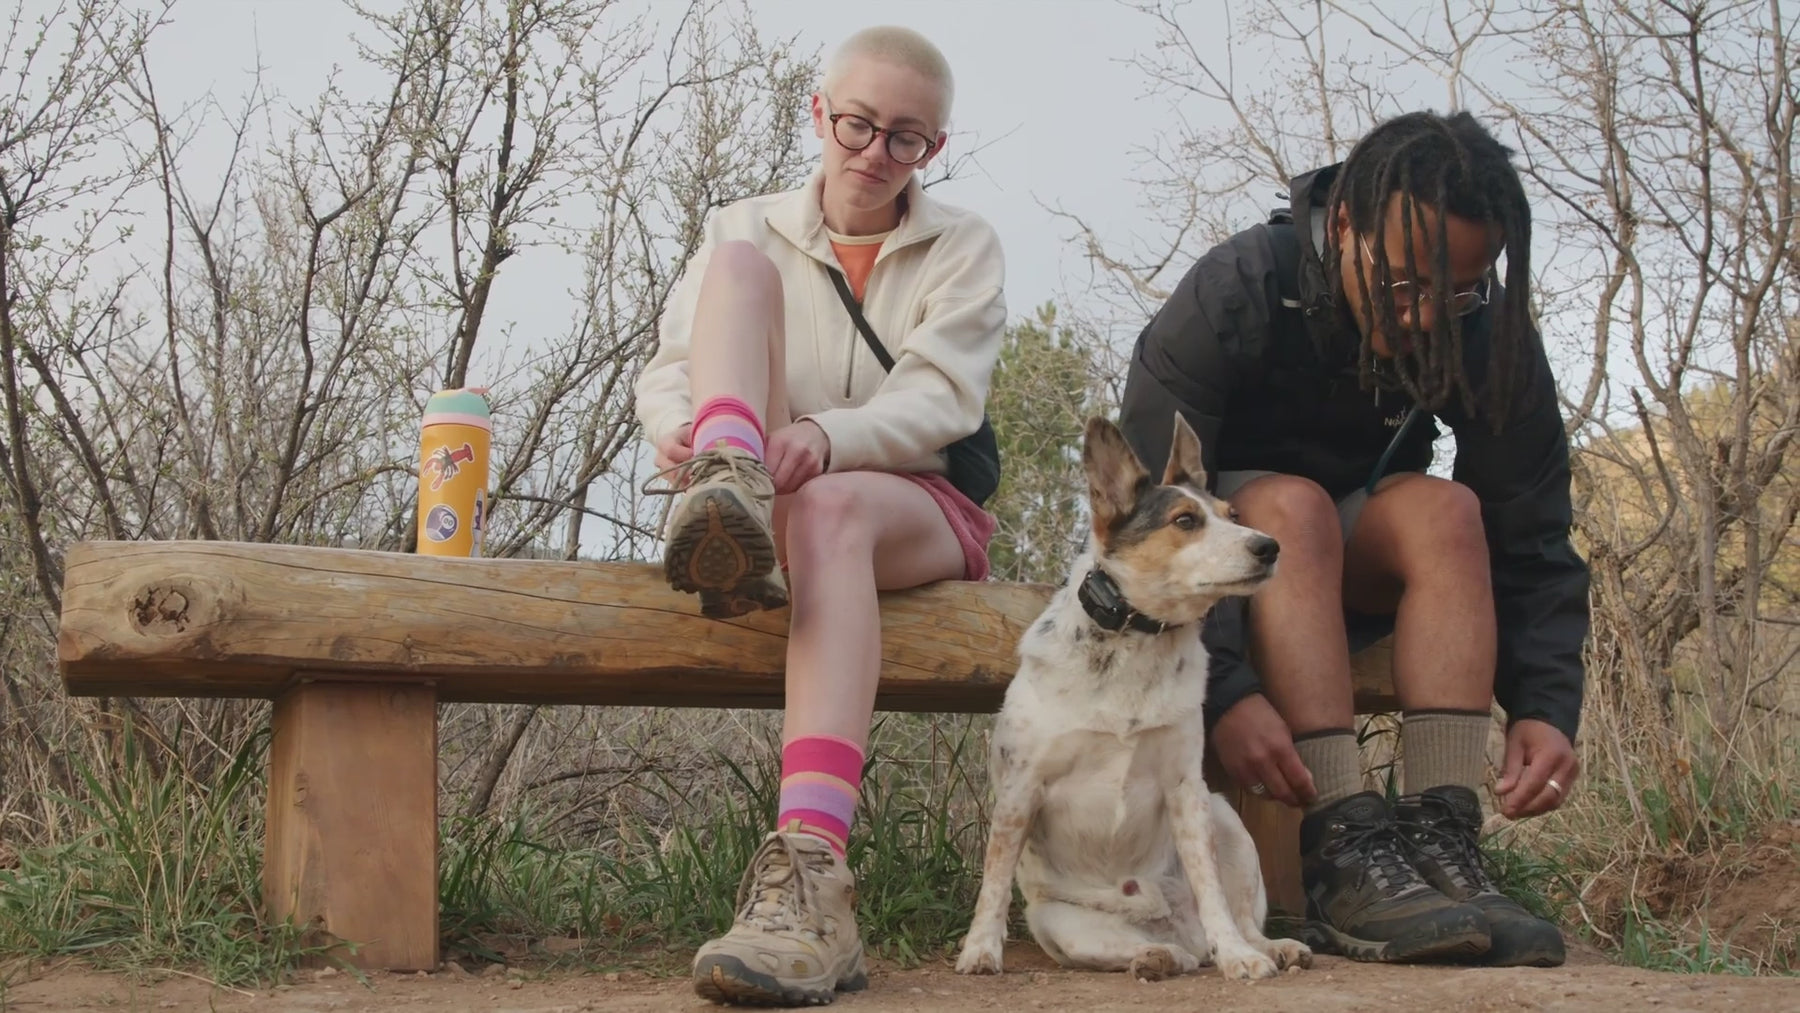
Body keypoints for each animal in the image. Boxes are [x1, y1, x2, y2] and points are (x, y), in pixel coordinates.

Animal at [954, 413, 1312, 982]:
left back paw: (1259, 947)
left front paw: (1239, 957)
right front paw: (981, 949)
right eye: (1185, 521)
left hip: (1225, 818)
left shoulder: (1187, 790)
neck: (1137, 639)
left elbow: (1212, 889)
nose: (1269, 546)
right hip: (1059, 923)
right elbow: (993, 878)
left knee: (1233, 919)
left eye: (1233, 516)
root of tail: (1175, 927)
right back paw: (1157, 956)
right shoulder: (1020, 790)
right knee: (1158, 952)